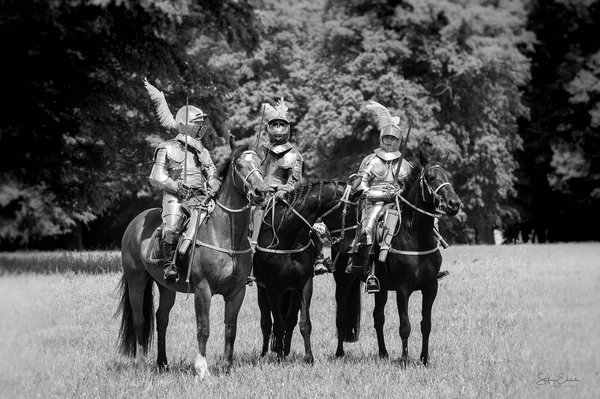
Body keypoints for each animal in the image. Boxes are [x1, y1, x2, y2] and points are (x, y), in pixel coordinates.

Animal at [115, 142, 270, 380]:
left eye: (261, 163)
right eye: (239, 165)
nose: (260, 192)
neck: (226, 234)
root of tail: (136, 222)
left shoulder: (237, 292)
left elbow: (230, 329)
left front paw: (227, 367)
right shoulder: (202, 290)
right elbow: (203, 329)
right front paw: (202, 369)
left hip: (166, 287)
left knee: (162, 319)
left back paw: (162, 363)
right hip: (136, 281)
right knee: (140, 320)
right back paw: (141, 366)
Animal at [252, 183, 360, 364]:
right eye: (352, 212)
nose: (350, 246)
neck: (286, 234)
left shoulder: (304, 284)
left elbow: (303, 323)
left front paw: (308, 357)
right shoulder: (272, 288)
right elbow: (277, 324)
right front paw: (279, 356)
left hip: (292, 292)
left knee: (290, 320)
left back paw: (285, 349)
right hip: (263, 290)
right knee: (266, 323)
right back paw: (265, 353)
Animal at [330, 152, 462, 366]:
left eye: (448, 175)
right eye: (431, 177)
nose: (454, 204)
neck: (416, 237)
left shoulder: (431, 287)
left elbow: (426, 324)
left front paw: (424, 359)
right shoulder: (403, 289)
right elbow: (405, 325)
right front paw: (405, 359)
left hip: (380, 287)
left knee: (378, 318)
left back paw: (383, 353)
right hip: (343, 281)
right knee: (341, 315)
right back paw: (340, 353)